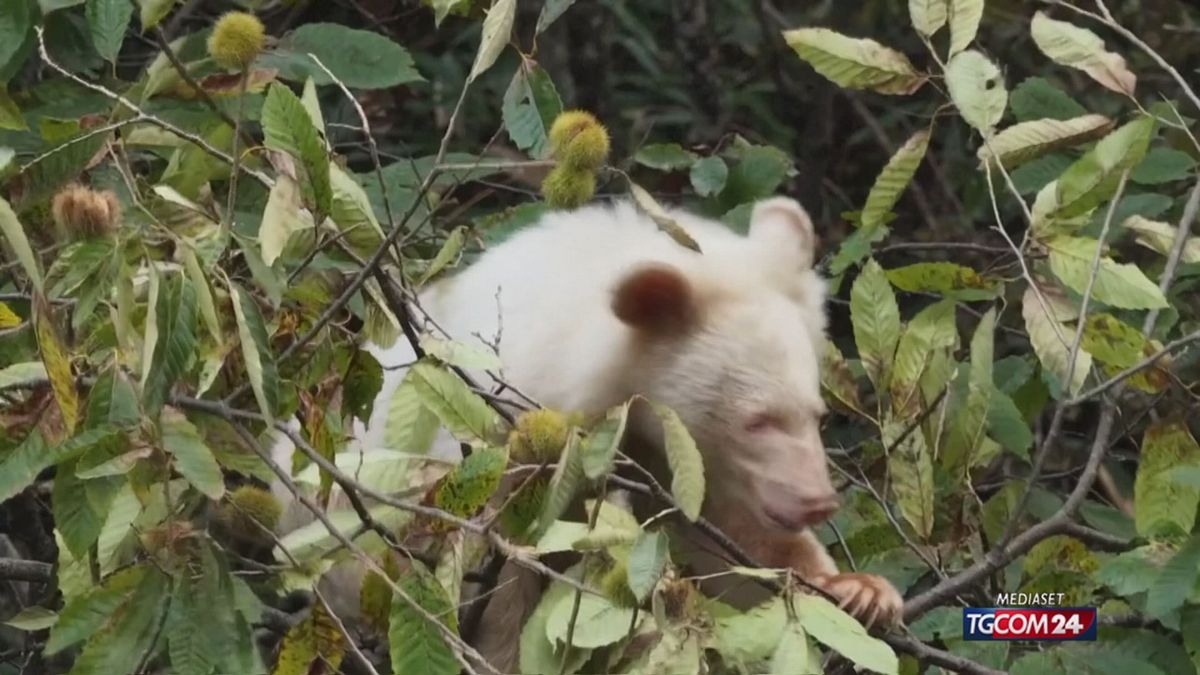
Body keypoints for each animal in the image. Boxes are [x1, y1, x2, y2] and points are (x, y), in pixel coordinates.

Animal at [268, 196, 903, 671]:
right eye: (757, 420)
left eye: (815, 413)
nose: (817, 501)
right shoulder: (504, 452)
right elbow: (498, 581)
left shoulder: (678, 461)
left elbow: (727, 546)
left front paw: (860, 590)